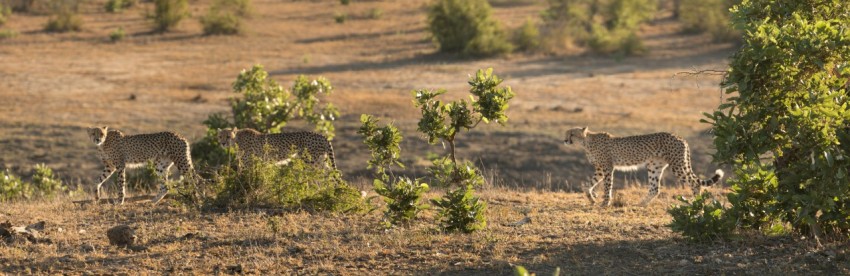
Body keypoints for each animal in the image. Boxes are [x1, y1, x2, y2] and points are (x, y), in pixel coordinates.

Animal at [564, 126, 724, 206]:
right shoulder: (599, 169)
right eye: (567, 133)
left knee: (694, 183)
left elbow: (607, 186)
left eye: (572, 134)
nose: (565, 140)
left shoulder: (607, 168)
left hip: (677, 165)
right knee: (655, 188)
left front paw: (605, 202)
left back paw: (697, 202)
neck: (586, 142)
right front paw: (592, 198)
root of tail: (680, 137)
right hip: (654, 166)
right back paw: (641, 203)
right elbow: (587, 184)